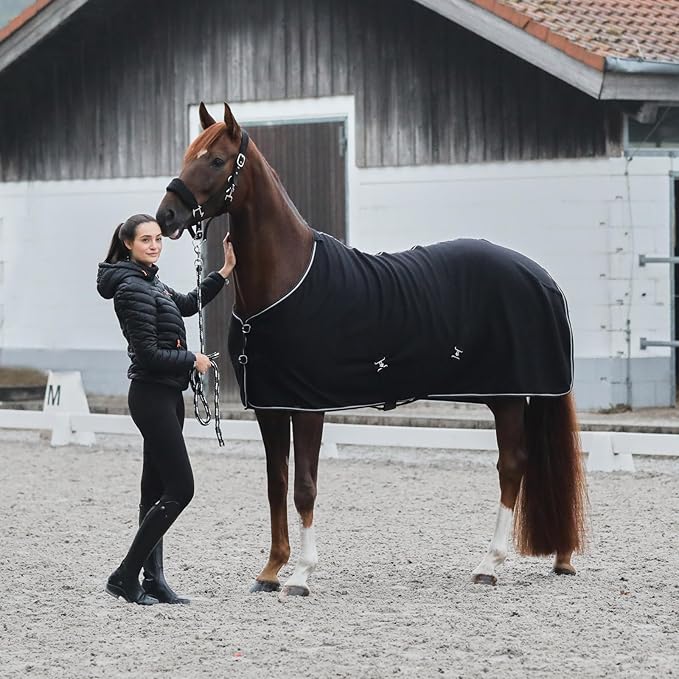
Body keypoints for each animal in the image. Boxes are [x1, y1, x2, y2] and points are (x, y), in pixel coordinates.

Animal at [156, 102, 587, 598]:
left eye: (216, 160)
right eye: (188, 155)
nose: (166, 216)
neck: (285, 280)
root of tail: (541, 276)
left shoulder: (308, 407)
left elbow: (305, 486)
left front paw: (301, 575)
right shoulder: (271, 405)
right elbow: (276, 483)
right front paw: (271, 570)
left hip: (510, 397)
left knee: (511, 467)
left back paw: (490, 564)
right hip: (507, 397)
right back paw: (559, 557)